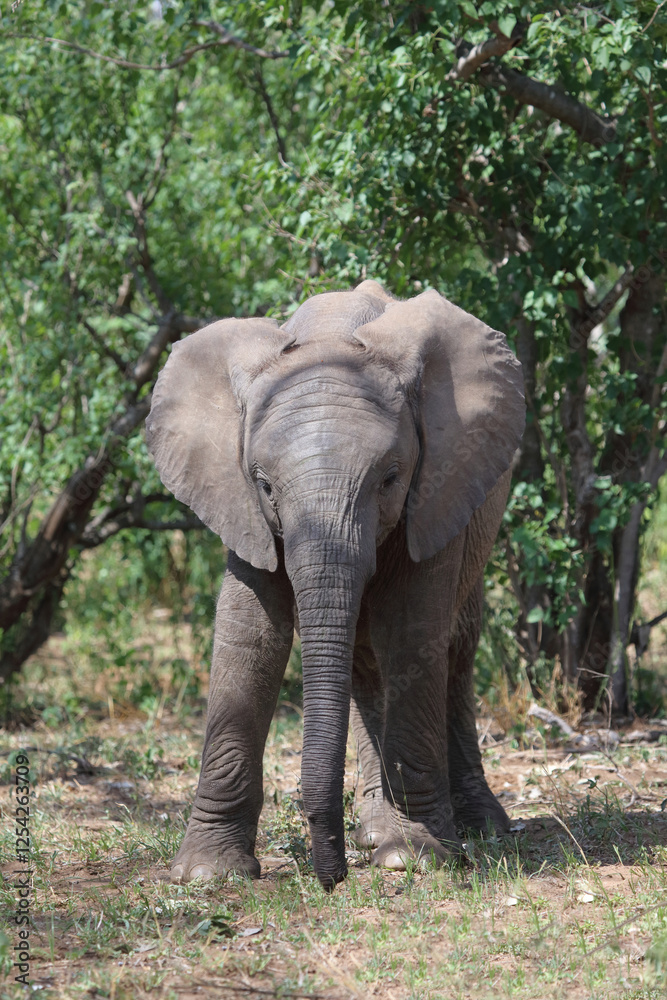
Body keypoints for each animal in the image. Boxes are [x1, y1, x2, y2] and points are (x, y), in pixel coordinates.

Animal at [146, 280, 525, 890]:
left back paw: (473, 827)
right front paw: (207, 874)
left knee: (454, 652)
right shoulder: (239, 505)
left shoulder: (436, 487)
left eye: (390, 478)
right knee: (368, 664)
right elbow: (249, 636)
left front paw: (415, 858)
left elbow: (414, 631)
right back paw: (374, 831)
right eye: (265, 484)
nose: (333, 878)